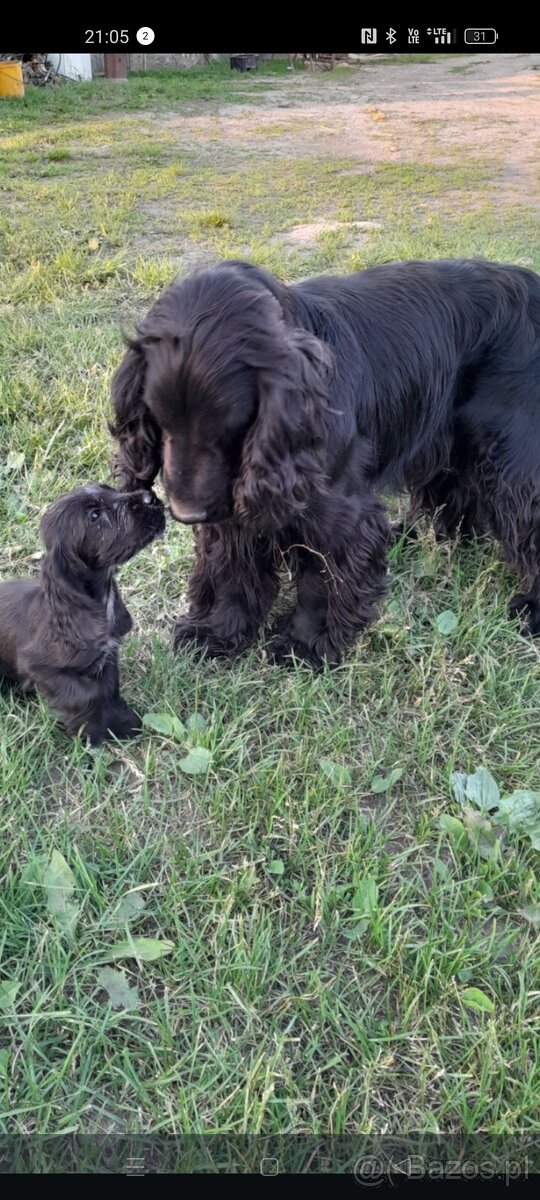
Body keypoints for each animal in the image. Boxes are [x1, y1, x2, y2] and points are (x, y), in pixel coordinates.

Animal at [0, 482, 164, 744]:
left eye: (110, 489)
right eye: (95, 515)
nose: (150, 497)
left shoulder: (108, 655)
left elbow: (109, 688)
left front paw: (122, 723)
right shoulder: (39, 666)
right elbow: (88, 694)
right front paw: (93, 733)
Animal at [108, 260, 540, 667]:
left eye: (228, 423)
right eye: (158, 416)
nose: (186, 513)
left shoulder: (336, 519)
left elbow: (320, 583)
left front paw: (305, 644)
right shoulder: (230, 508)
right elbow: (233, 570)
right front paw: (218, 633)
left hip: (511, 458)